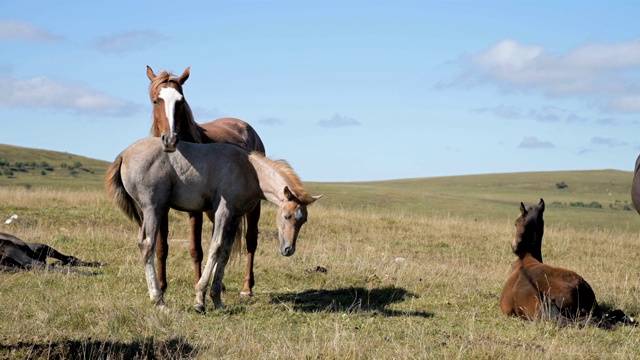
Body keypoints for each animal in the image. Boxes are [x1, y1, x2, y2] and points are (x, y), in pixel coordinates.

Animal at [107, 138, 322, 312]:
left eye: (303, 220)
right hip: (154, 208)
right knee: (148, 246)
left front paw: (217, 300)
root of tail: (124, 154)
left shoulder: (235, 217)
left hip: (148, 212)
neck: (249, 170)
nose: (288, 249)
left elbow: (225, 252)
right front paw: (199, 300)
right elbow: (215, 248)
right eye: (286, 216)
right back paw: (159, 301)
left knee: (142, 243)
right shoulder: (223, 211)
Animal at [145, 66, 264, 296]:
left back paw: (247, 287)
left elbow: (195, 249)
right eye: (156, 100)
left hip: (253, 207)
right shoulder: (162, 206)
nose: (170, 140)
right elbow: (162, 247)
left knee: (251, 241)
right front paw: (162, 287)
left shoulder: (195, 210)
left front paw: (198, 285)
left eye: (181, 101)